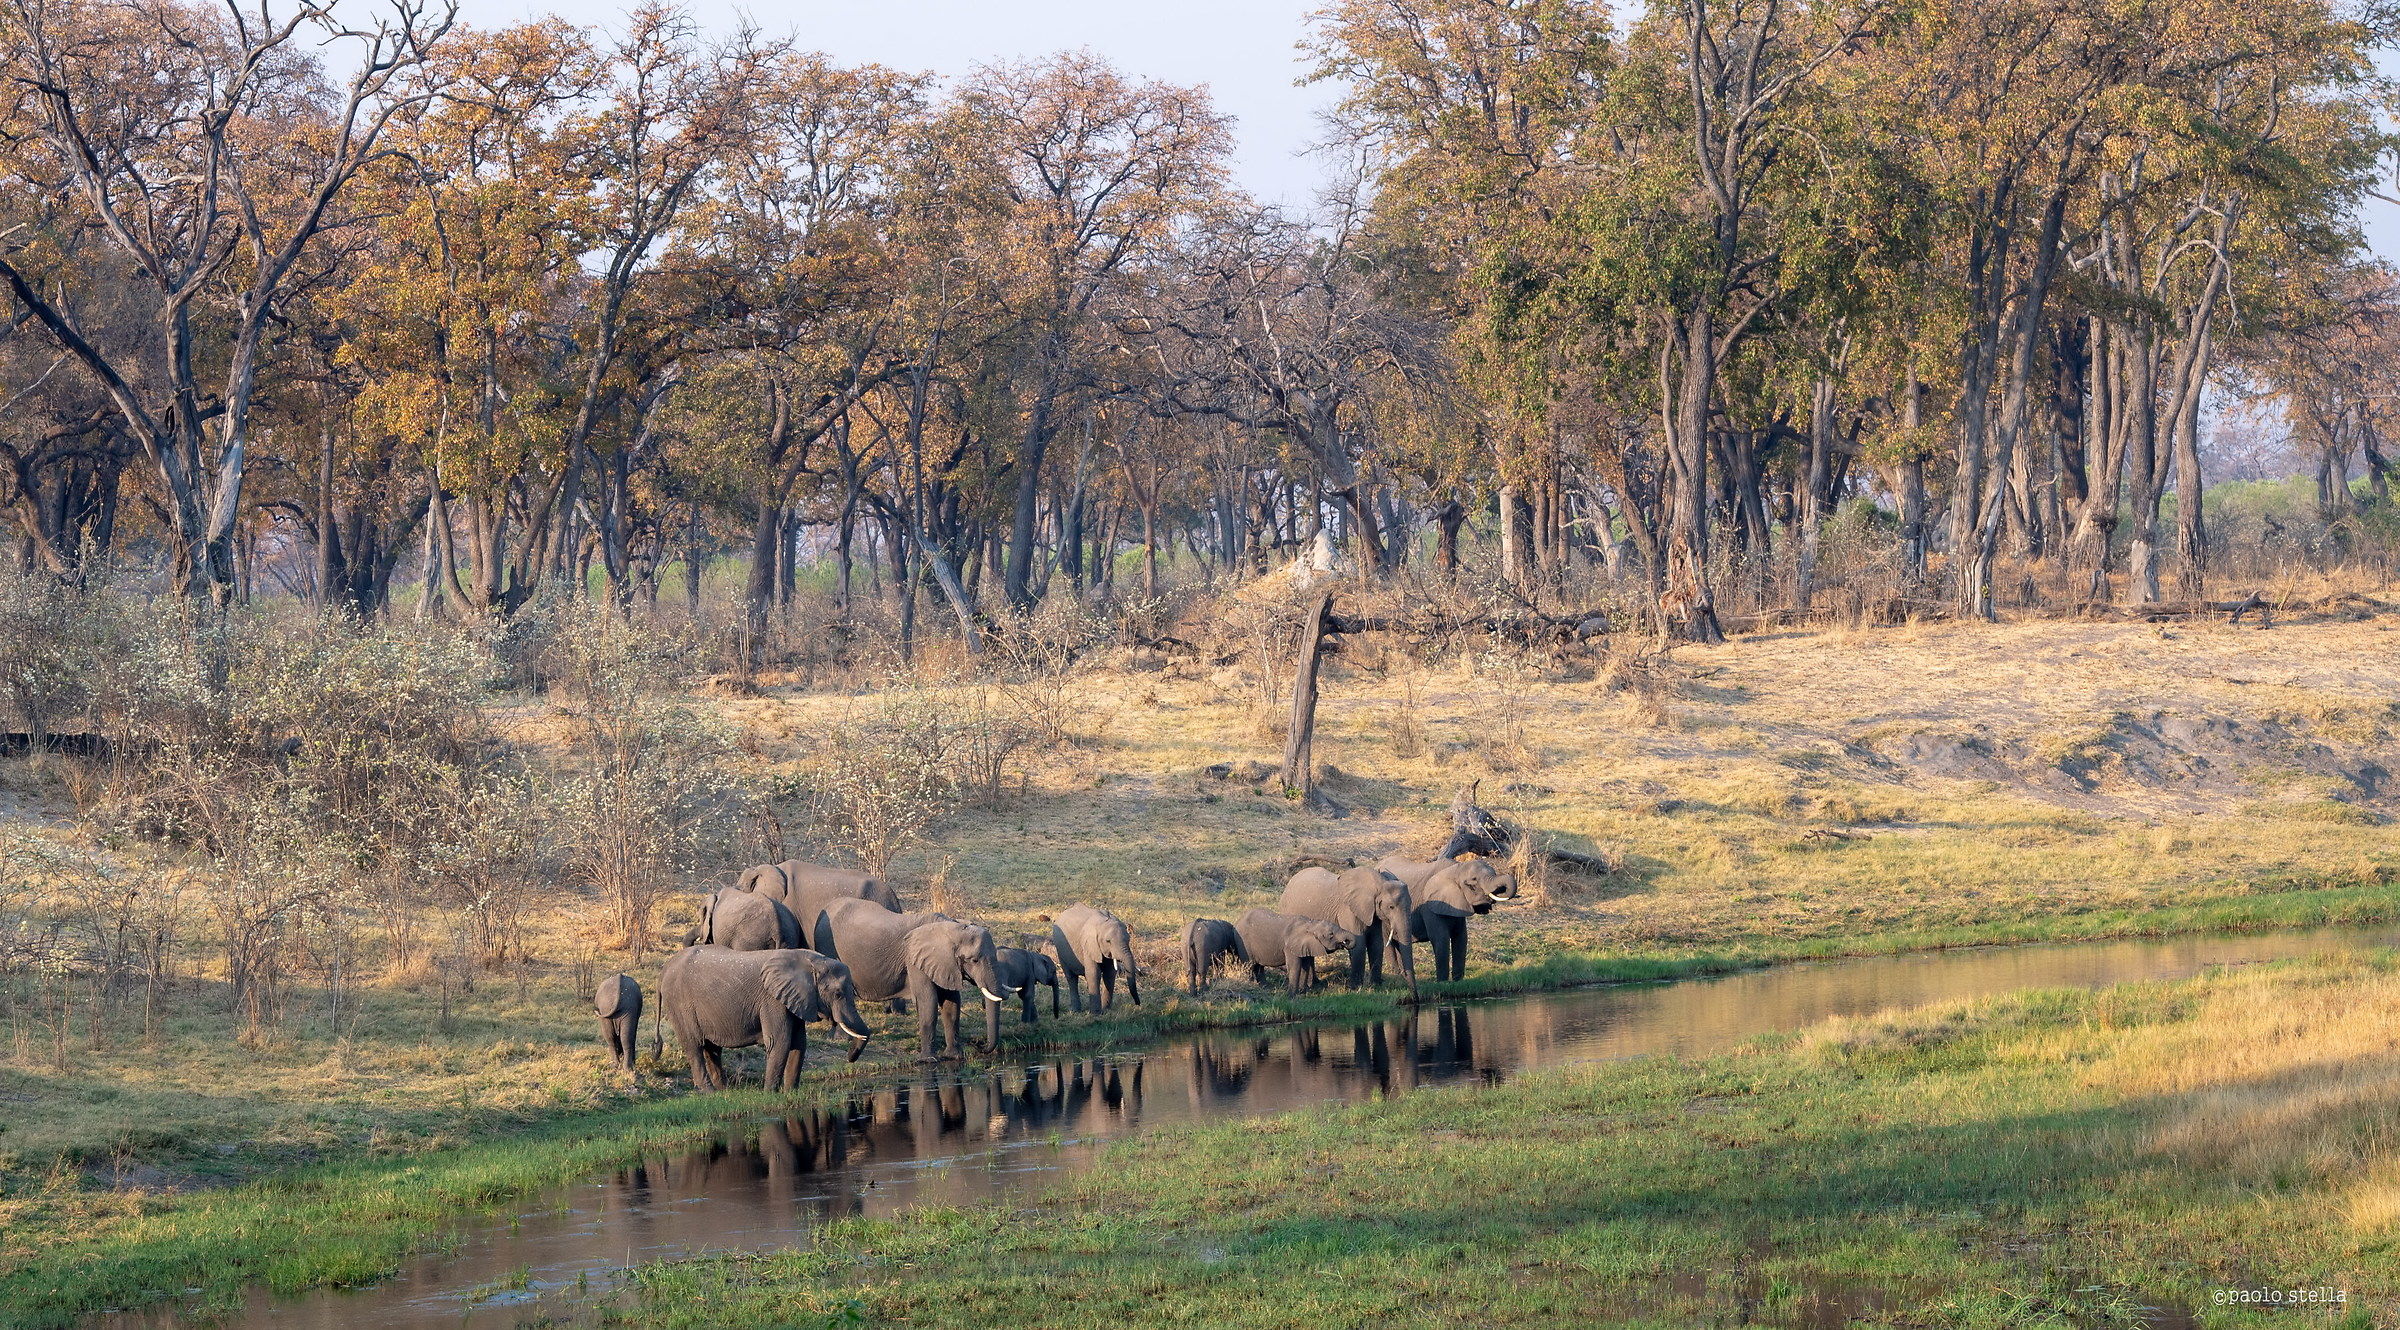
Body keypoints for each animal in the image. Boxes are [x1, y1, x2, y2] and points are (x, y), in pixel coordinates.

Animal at [657, 941, 873, 1085]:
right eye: (837, 994)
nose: (849, 1058)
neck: (810, 960)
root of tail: (665, 968)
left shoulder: (794, 999)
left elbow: (799, 1043)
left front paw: (790, 1093)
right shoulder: (772, 1000)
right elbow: (780, 1042)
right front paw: (771, 1094)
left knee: (711, 1049)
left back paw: (721, 1092)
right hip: (679, 1004)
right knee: (694, 1046)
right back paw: (709, 1092)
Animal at [806, 902, 1003, 1056]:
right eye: (974, 960)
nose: (978, 1044)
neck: (951, 927)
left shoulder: (945, 964)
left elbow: (951, 1003)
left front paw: (954, 1057)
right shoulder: (915, 960)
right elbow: (928, 1000)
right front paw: (928, 1059)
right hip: (828, 947)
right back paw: (841, 1039)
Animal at [1286, 859, 1411, 993]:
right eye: (1391, 907)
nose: (1403, 977)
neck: (1378, 882)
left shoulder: (1373, 912)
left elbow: (1376, 944)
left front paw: (1376, 986)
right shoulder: (1348, 910)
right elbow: (1359, 945)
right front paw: (1355, 988)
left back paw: (1315, 984)